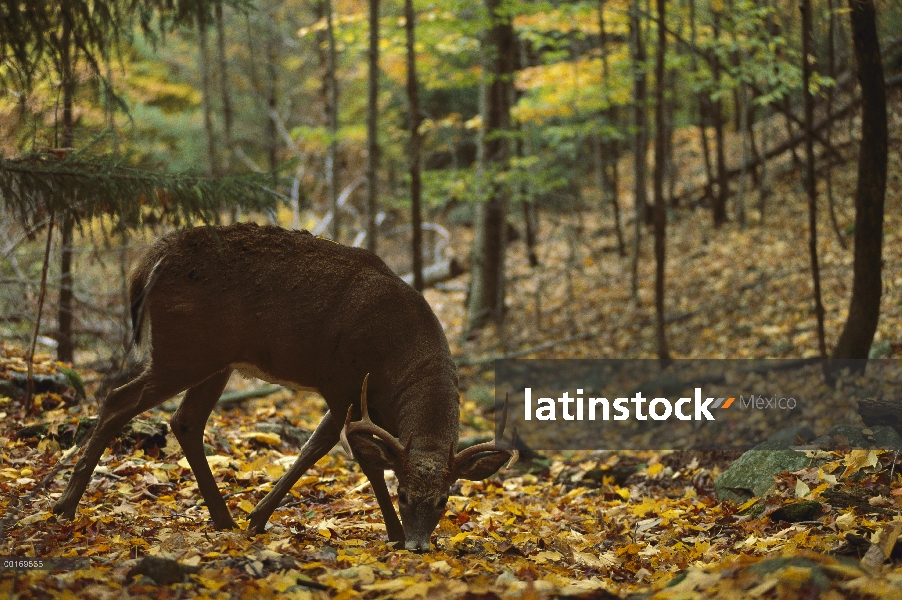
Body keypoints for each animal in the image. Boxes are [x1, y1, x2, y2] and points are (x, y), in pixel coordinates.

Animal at [51, 223, 516, 552]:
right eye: (404, 495)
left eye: (444, 500)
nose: (420, 546)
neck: (396, 355)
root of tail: (152, 258)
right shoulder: (342, 383)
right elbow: (348, 453)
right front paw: (394, 533)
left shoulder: (356, 396)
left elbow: (323, 446)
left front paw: (257, 517)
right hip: (183, 350)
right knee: (118, 399)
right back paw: (64, 506)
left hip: (214, 360)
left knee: (185, 420)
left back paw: (222, 519)